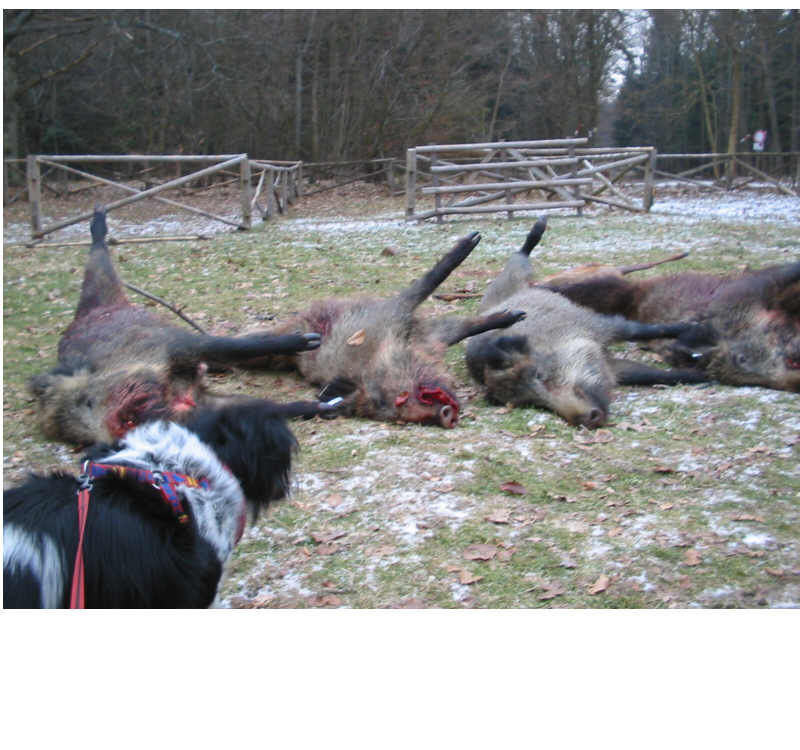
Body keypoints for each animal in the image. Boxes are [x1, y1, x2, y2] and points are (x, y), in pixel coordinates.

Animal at [29, 205, 331, 447]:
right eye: (78, 438)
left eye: (87, 401)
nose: (119, 433)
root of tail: (86, 315)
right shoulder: (200, 404)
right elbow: (264, 407)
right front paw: (324, 406)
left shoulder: (174, 345)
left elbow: (233, 345)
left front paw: (308, 341)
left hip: (100, 292)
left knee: (98, 262)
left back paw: (99, 218)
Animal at [254, 231, 526, 428]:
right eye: (385, 407)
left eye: (387, 397)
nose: (445, 415)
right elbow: (463, 325)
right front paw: (516, 316)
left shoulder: (397, 316)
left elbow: (431, 291)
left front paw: (517, 315)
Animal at [465, 218, 708, 428]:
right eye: (532, 403)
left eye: (539, 375)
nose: (586, 419)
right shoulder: (608, 363)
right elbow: (654, 375)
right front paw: (703, 376)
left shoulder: (599, 325)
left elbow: (640, 331)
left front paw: (694, 329)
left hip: (509, 281)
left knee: (521, 256)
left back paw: (537, 225)